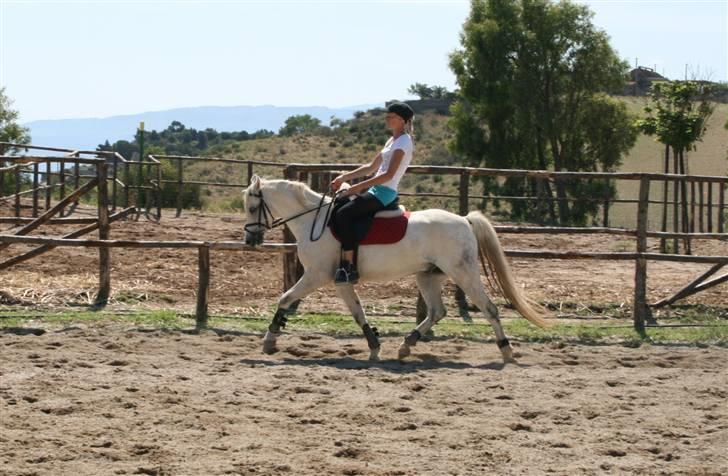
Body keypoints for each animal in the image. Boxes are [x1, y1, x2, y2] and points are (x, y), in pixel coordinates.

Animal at [243, 175, 550, 363]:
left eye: (252, 207)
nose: (249, 240)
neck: (314, 222)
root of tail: (464, 219)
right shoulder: (342, 281)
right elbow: (358, 313)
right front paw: (374, 347)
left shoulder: (316, 276)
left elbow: (284, 299)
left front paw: (269, 341)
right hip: (427, 276)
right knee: (437, 311)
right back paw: (406, 345)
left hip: (464, 274)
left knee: (489, 309)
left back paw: (507, 351)